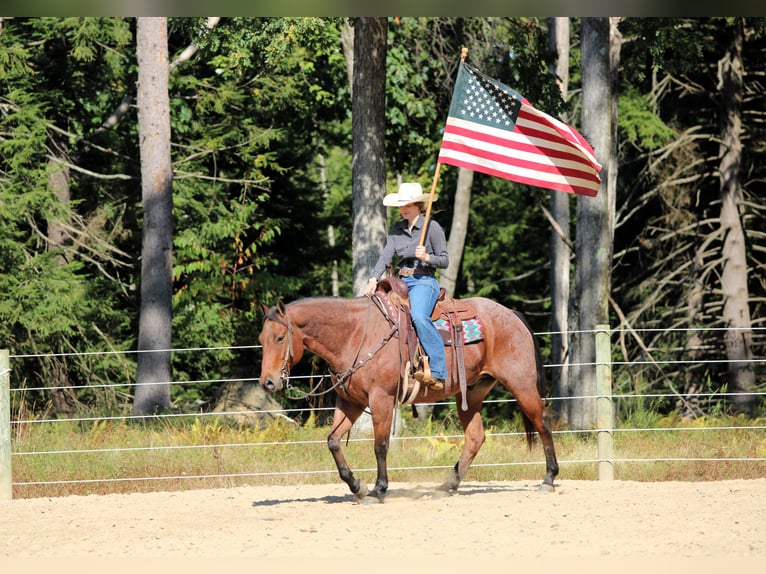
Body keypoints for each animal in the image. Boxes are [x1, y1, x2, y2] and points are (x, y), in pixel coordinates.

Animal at [258, 290, 559, 502]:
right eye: (261, 339)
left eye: (280, 338)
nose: (268, 382)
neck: (355, 335)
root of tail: (512, 314)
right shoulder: (351, 402)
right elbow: (333, 441)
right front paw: (357, 486)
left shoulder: (381, 399)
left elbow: (380, 446)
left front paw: (378, 489)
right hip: (472, 393)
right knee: (475, 437)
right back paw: (447, 486)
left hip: (521, 385)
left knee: (543, 423)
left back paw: (548, 479)